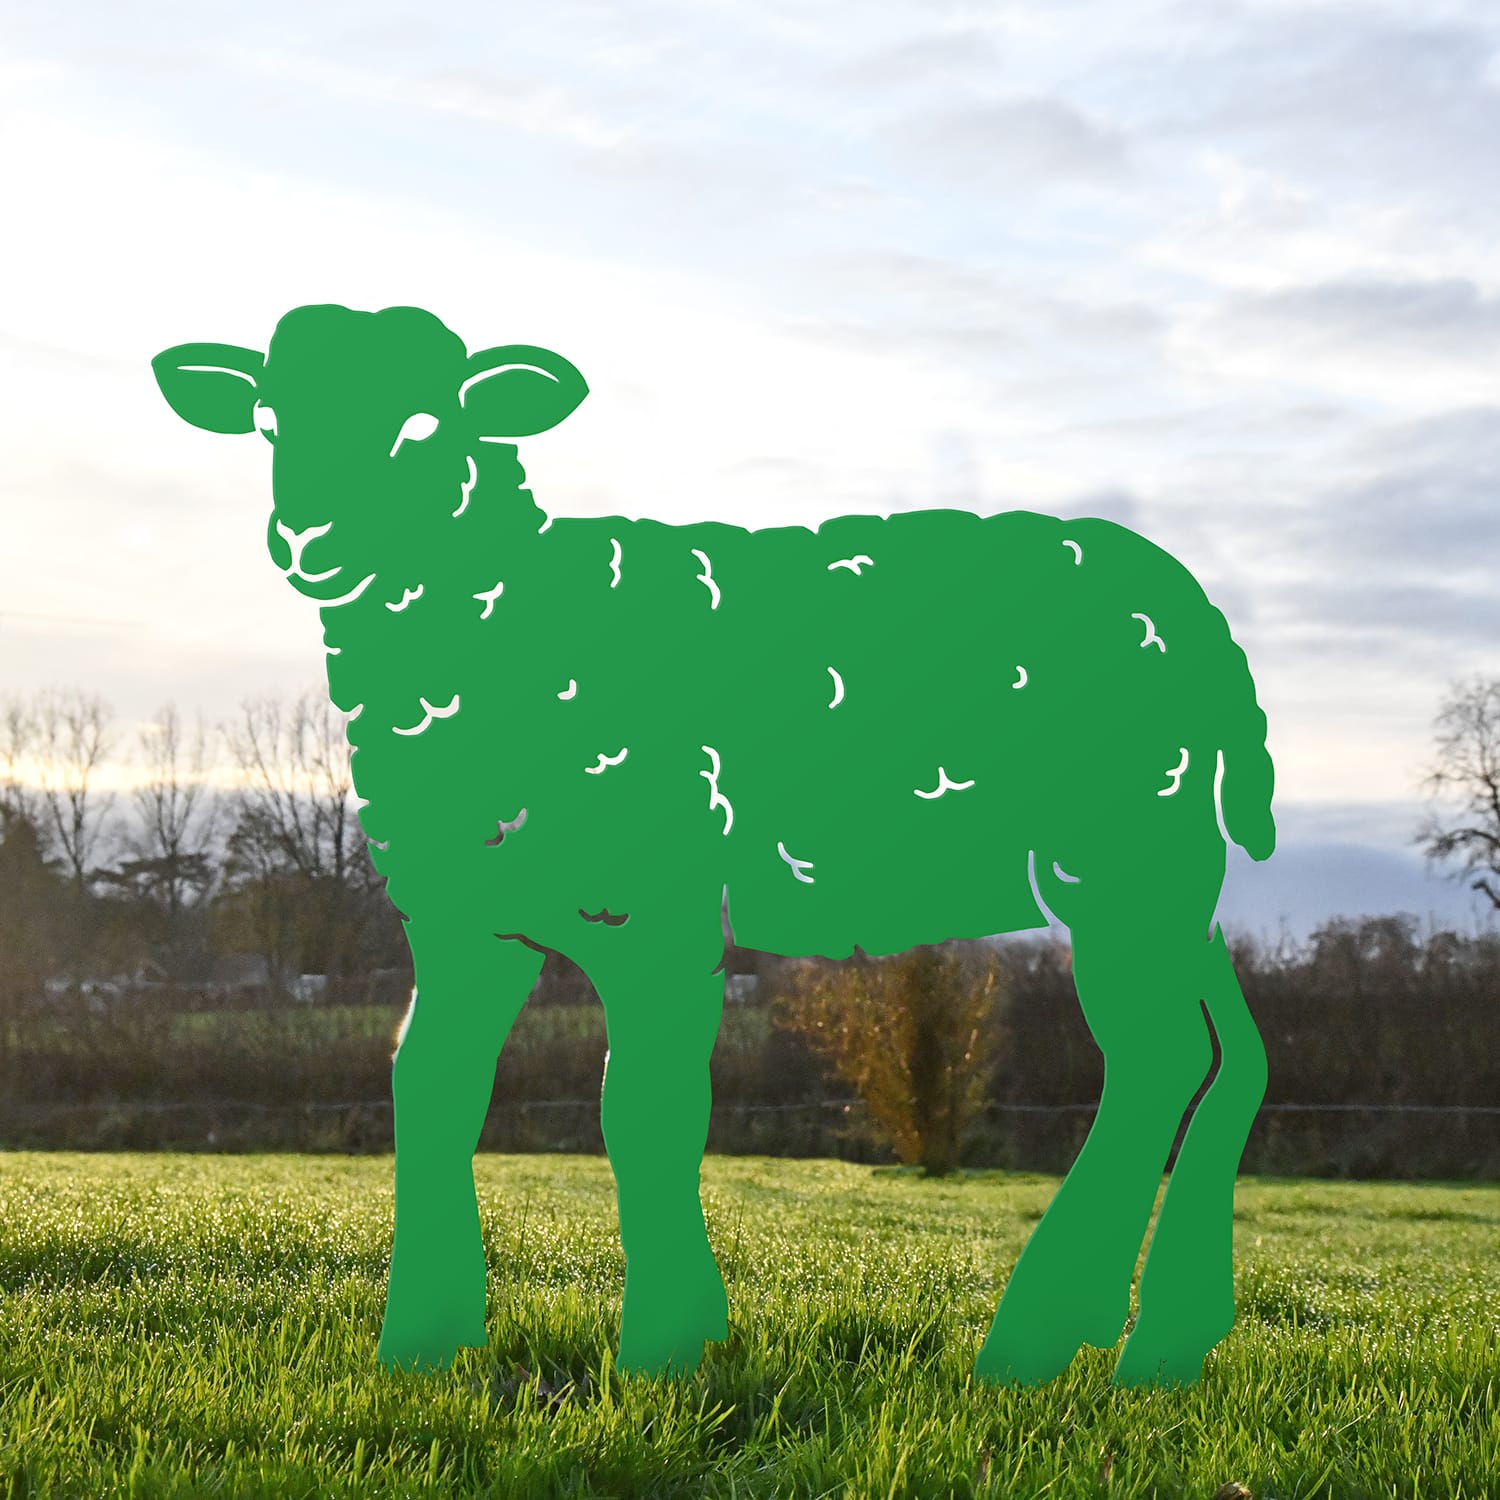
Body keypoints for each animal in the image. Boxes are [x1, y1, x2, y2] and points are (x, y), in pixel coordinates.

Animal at [151, 302, 1275, 1389]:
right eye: (268, 422)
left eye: (427, 424)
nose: (311, 537)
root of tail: (1200, 615)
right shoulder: (466, 916)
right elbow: (426, 1087)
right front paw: (423, 1345)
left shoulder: (653, 899)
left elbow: (639, 1107)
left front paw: (666, 1346)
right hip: (1173, 873)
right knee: (1223, 1054)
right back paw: (1148, 1333)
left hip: (1129, 851)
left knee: (1158, 1059)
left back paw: (1042, 1343)